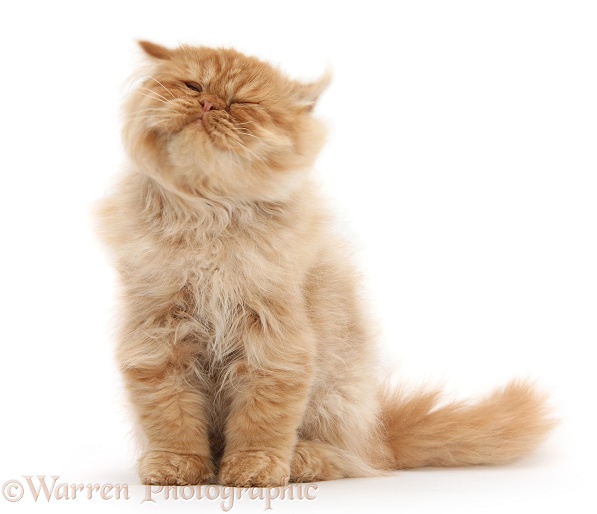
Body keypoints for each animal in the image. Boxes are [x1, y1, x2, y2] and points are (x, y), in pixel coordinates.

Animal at [94, 41, 556, 484]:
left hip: (338, 397)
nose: (208, 105)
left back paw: (299, 461)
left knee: (347, 457)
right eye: (193, 87)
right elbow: (170, 416)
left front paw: (254, 469)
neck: (208, 213)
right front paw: (177, 467)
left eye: (242, 103)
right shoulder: (157, 335)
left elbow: (263, 419)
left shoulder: (275, 336)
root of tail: (380, 435)